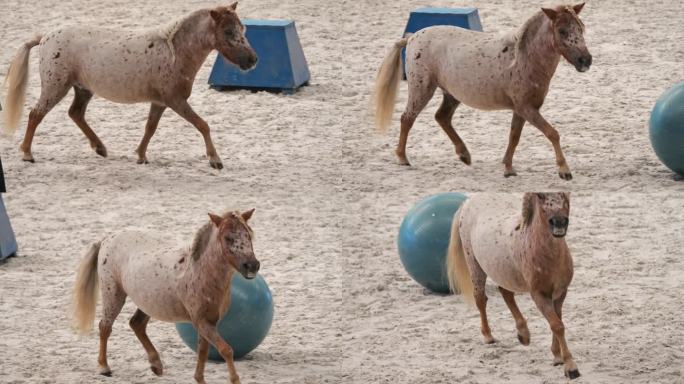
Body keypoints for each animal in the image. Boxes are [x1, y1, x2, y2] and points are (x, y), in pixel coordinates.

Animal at [3, 2, 256, 168]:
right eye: (228, 31)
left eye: (242, 29)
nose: (253, 60)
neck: (174, 51)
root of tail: (45, 37)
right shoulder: (176, 101)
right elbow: (203, 125)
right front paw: (215, 160)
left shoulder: (160, 102)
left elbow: (150, 128)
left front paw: (141, 156)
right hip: (55, 87)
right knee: (36, 114)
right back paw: (27, 154)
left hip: (83, 89)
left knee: (75, 113)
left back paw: (100, 148)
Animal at [73, 210, 260, 384]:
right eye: (228, 238)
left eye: (249, 235)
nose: (252, 266)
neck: (199, 271)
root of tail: (107, 239)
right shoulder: (202, 322)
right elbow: (226, 350)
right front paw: (235, 379)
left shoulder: (209, 322)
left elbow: (203, 351)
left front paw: (199, 378)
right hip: (113, 294)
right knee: (105, 326)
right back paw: (104, 367)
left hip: (147, 302)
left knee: (136, 324)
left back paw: (156, 365)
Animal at [374, 3, 592, 180]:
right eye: (562, 31)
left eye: (581, 28)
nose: (586, 61)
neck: (523, 57)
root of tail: (412, 38)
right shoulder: (527, 109)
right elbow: (552, 133)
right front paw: (564, 170)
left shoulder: (521, 110)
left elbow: (514, 137)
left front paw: (508, 168)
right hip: (422, 89)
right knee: (407, 118)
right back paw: (402, 158)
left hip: (451, 95)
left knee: (442, 117)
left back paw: (464, 155)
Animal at [446, 194, 580, 380]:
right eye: (540, 197)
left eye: (565, 195)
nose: (559, 222)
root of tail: (468, 201)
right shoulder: (539, 295)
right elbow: (557, 325)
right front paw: (570, 367)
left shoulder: (560, 293)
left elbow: (558, 321)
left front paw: (557, 356)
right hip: (475, 265)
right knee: (480, 299)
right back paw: (488, 336)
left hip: (503, 272)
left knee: (506, 293)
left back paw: (523, 334)